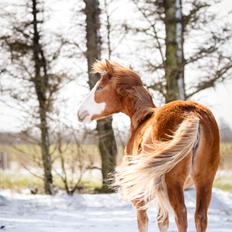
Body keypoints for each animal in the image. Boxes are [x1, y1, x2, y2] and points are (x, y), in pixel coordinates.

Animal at [77, 60, 219, 232]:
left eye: (99, 87)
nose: (80, 113)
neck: (141, 117)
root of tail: (192, 114)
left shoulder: (141, 197)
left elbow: (144, 222)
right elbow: (162, 221)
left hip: (173, 184)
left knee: (181, 215)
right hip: (205, 180)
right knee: (200, 217)